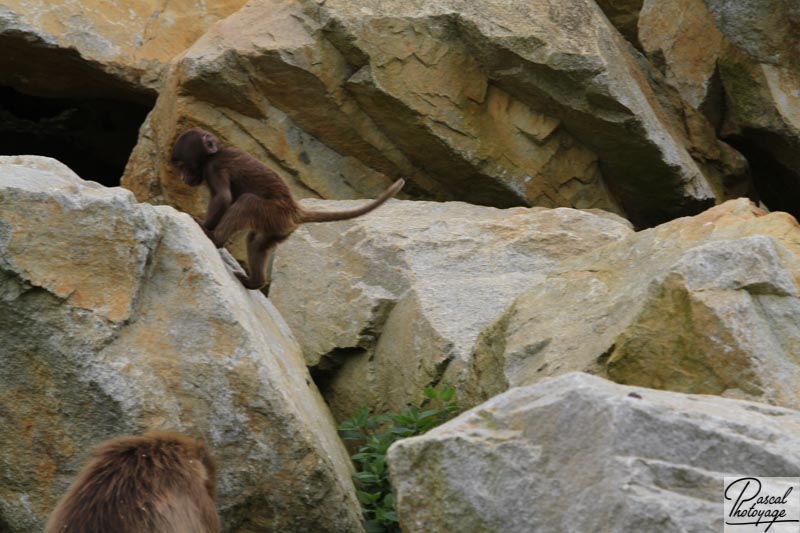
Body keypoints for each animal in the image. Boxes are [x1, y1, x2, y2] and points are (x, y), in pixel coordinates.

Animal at [171, 128, 404, 286]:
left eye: (183, 166)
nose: (182, 178)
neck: (214, 154)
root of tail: (295, 209)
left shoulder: (214, 166)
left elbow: (223, 198)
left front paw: (205, 226)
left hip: (275, 212)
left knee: (247, 203)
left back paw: (216, 239)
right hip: (278, 227)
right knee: (256, 241)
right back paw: (255, 283)